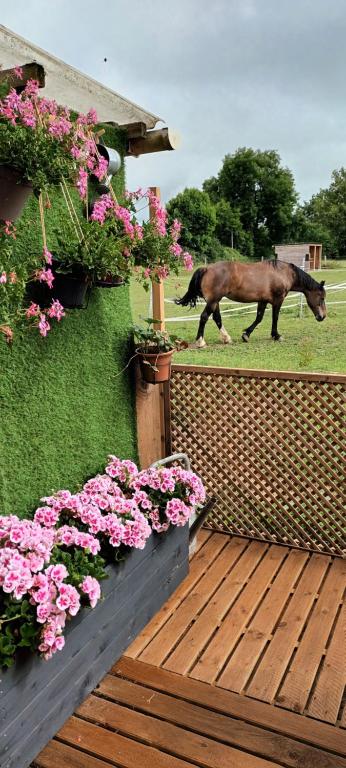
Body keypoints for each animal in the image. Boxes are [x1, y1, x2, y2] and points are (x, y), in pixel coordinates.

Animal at [177, 260, 326, 346]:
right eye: (322, 297)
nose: (322, 317)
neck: (283, 273)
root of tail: (206, 268)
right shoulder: (278, 300)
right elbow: (275, 317)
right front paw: (276, 336)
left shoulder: (263, 301)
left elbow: (259, 318)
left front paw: (246, 335)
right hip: (213, 300)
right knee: (204, 317)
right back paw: (200, 341)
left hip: (215, 301)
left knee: (216, 318)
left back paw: (227, 338)